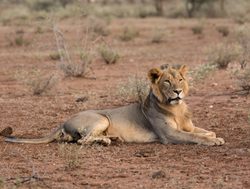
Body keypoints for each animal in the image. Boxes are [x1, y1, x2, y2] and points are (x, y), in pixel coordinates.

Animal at [0, 65, 225, 146]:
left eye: (180, 79)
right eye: (167, 82)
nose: (178, 91)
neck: (176, 108)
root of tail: (63, 122)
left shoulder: (188, 126)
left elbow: (204, 131)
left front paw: (214, 136)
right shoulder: (168, 135)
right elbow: (194, 137)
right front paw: (214, 141)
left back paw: (113, 138)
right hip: (101, 118)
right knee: (82, 140)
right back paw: (107, 141)